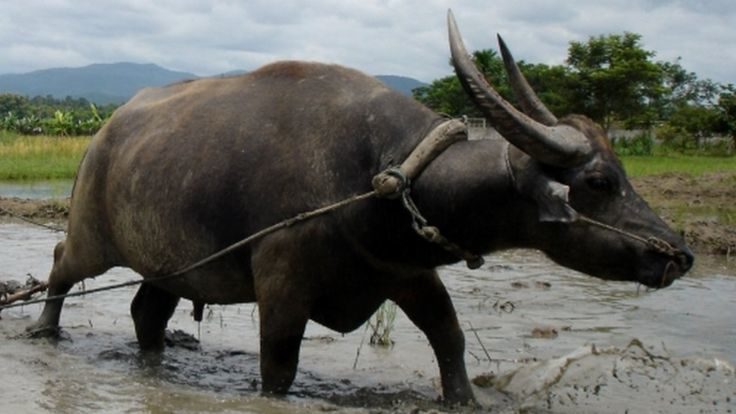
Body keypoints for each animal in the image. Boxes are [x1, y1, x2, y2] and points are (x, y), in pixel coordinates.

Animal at [30, 11, 693, 405]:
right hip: (92, 237)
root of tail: (104, 133)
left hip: (171, 264)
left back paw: (155, 359)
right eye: (600, 181)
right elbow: (279, 365)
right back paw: (44, 330)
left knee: (146, 311)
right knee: (61, 264)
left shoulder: (407, 271)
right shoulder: (282, 283)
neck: (384, 171)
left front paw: (464, 398)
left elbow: (450, 338)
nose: (679, 254)